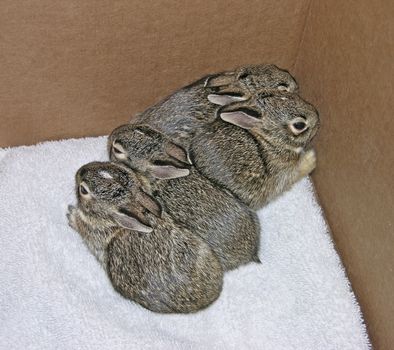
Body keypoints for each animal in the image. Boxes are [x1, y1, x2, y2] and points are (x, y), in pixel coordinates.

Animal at [189, 91, 318, 211]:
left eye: (289, 94)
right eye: (299, 125)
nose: (317, 116)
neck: (270, 141)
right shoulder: (284, 176)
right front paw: (312, 158)